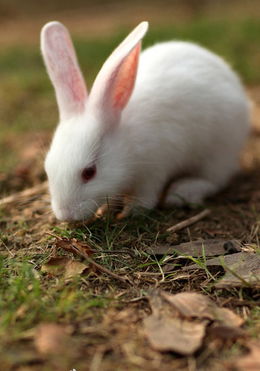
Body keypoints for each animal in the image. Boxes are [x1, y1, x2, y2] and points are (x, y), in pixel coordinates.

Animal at [40, 21, 250, 221]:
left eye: (89, 172)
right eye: (47, 169)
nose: (65, 215)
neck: (127, 144)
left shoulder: (154, 169)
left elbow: (146, 196)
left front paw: (132, 211)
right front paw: (105, 210)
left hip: (218, 152)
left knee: (215, 179)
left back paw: (182, 192)